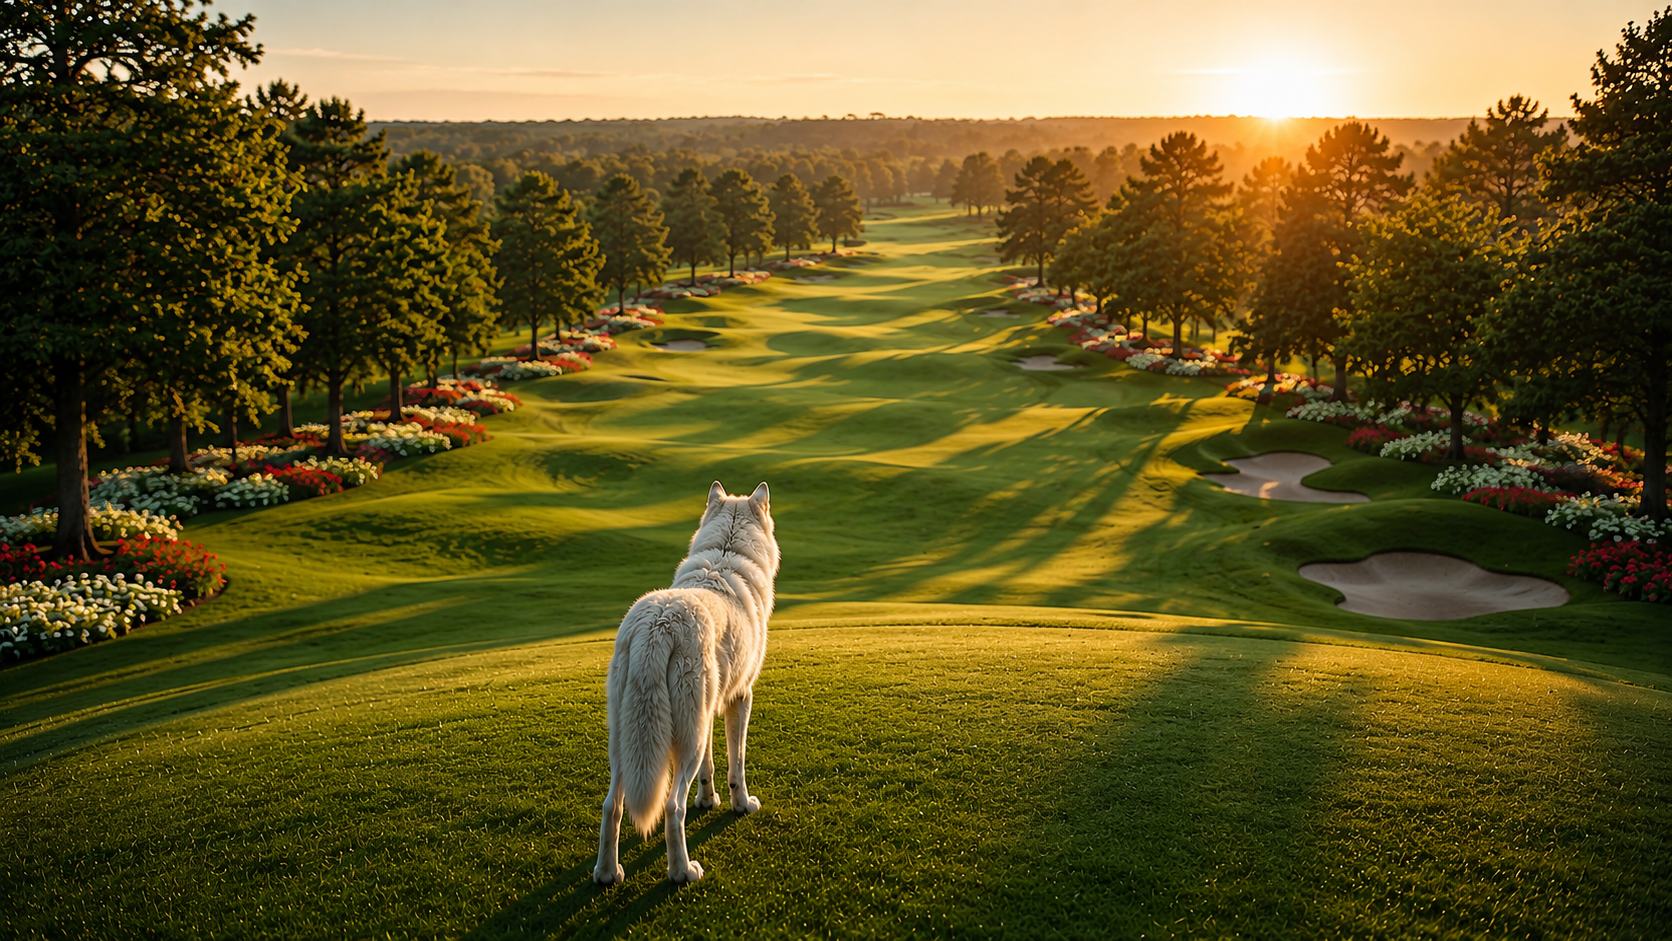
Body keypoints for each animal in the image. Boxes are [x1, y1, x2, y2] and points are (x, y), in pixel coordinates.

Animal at [593, 481, 779, 885]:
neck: (726, 553)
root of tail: (658, 625)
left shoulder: (707, 713)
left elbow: (711, 768)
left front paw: (707, 801)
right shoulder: (741, 698)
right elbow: (737, 765)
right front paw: (741, 805)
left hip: (627, 744)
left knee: (611, 806)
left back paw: (607, 873)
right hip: (684, 743)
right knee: (671, 807)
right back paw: (682, 871)